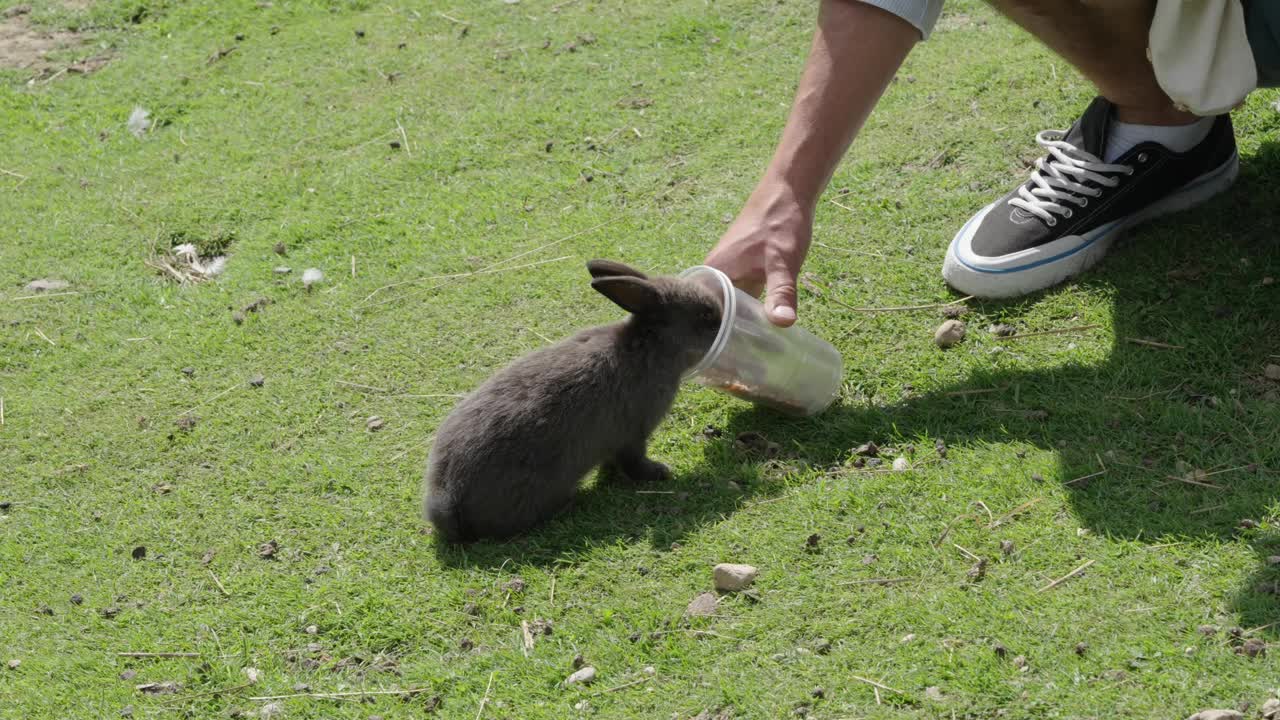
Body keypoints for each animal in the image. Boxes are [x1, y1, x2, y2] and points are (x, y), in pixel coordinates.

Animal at [419, 254, 721, 540]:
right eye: (705, 316)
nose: (721, 322)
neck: (651, 346)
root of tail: (449, 503)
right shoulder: (633, 434)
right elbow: (634, 461)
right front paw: (660, 472)